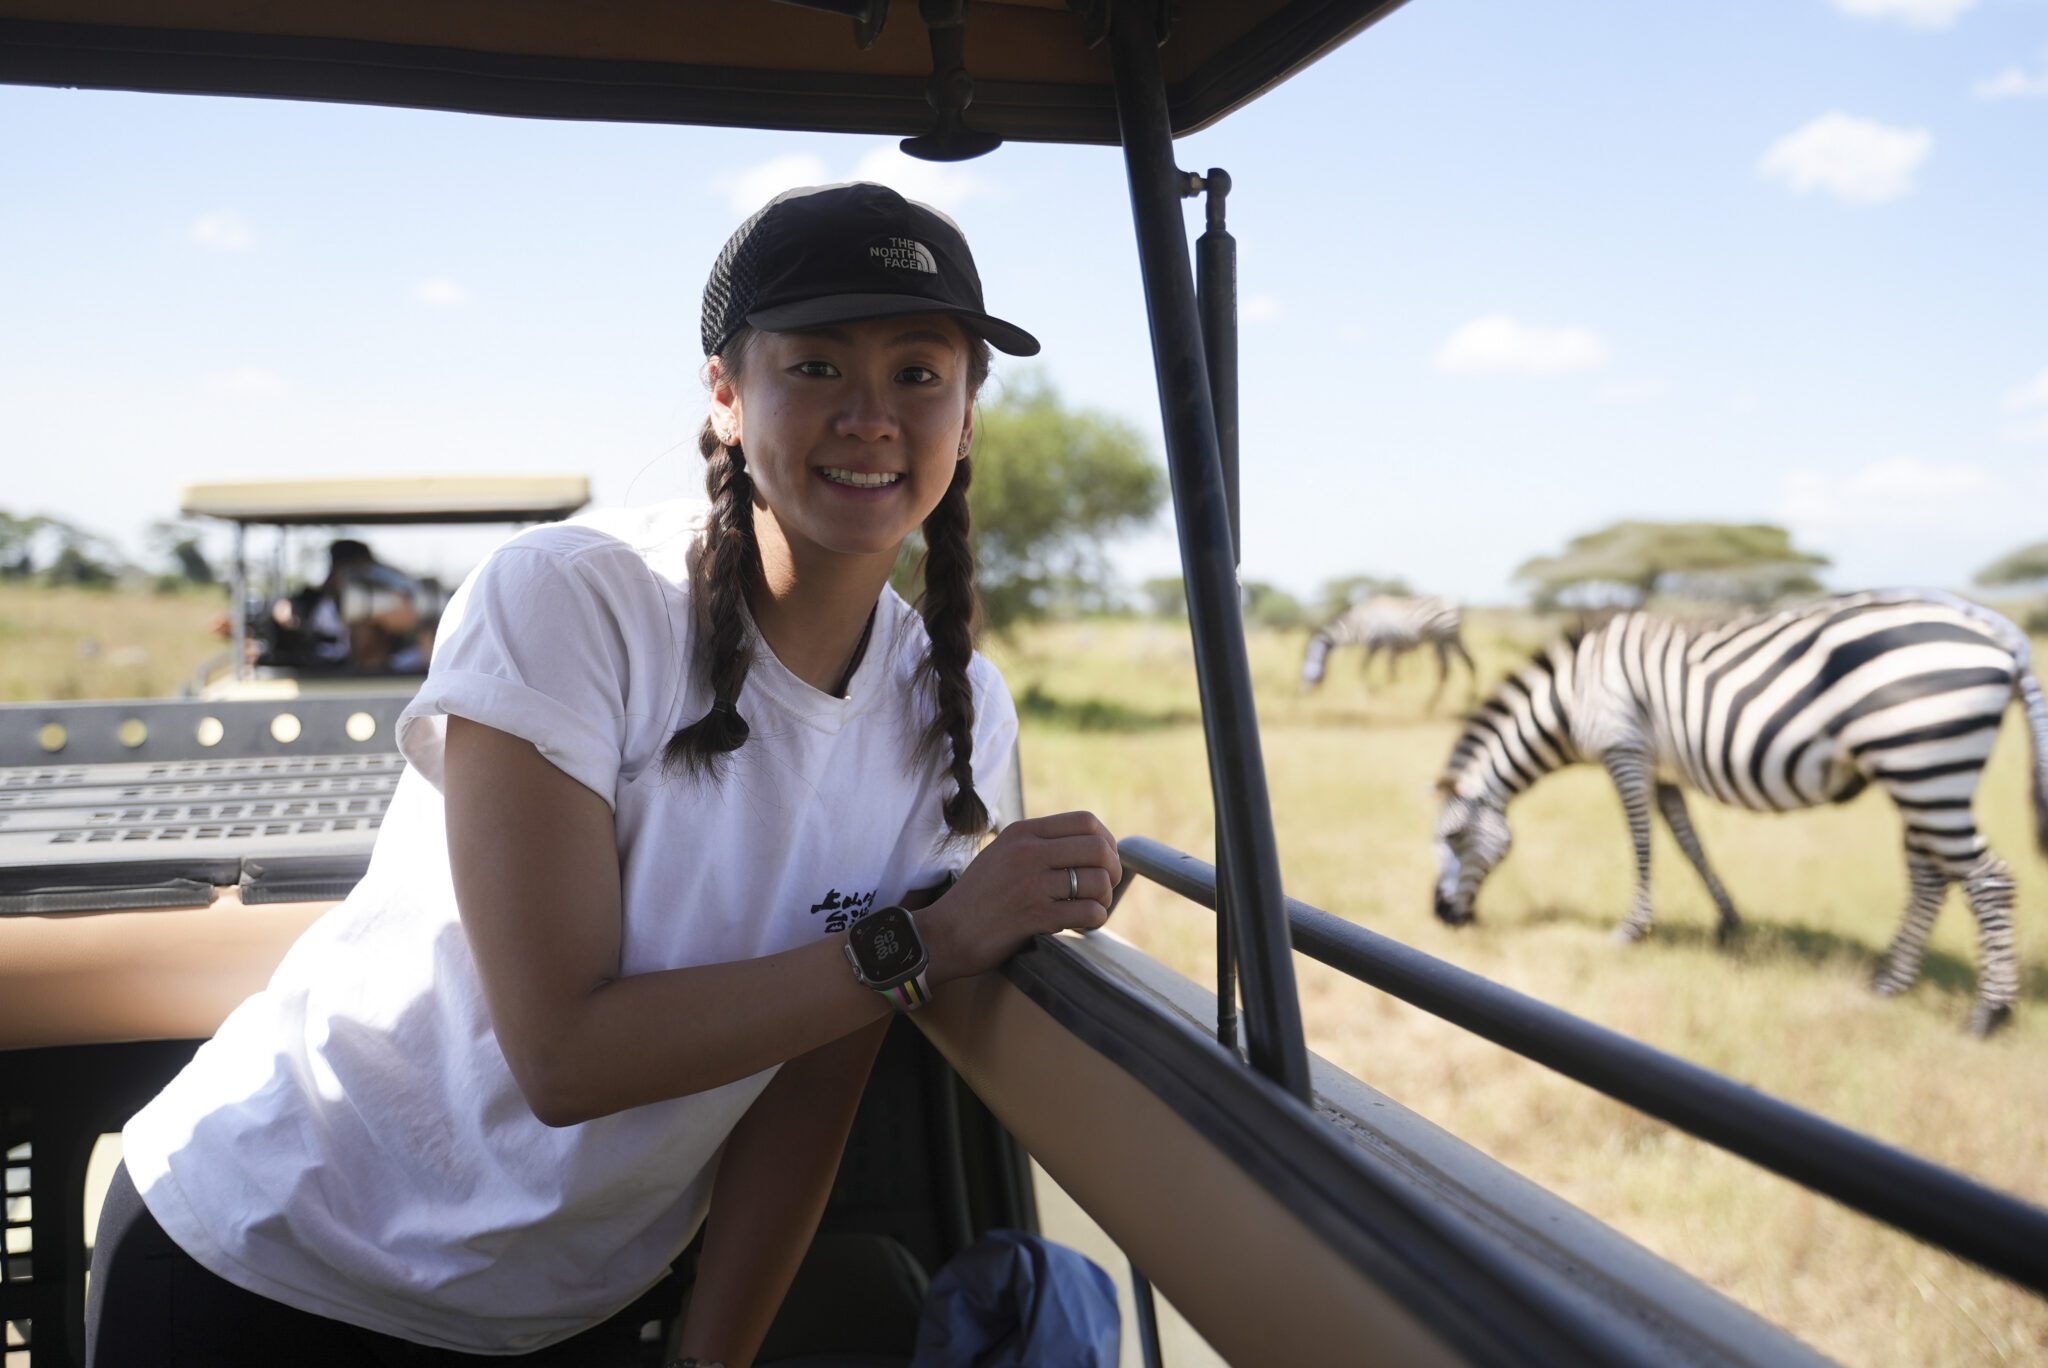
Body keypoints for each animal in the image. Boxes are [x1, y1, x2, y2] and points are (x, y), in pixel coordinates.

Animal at [1302, 594, 1477, 709]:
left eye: (1306, 660)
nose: (1304, 692)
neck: (1359, 625)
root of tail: (1454, 606)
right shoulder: (1381, 647)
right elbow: (1373, 670)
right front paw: (1376, 691)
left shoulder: (1379, 644)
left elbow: (1368, 669)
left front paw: (1374, 692)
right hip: (1451, 639)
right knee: (1469, 663)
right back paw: (1469, 697)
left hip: (1441, 638)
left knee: (1445, 670)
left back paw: (1431, 704)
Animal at [1432, 589, 2048, 1035]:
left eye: (1456, 838)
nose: (1442, 918)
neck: (1569, 697)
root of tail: (1995, 627)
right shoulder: (1661, 768)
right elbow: (1687, 839)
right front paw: (1728, 922)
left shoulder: (1625, 750)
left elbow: (1641, 840)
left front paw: (1632, 930)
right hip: (1918, 771)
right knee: (1931, 875)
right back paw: (1889, 984)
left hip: (1926, 763)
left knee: (1989, 878)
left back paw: (1989, 1014)